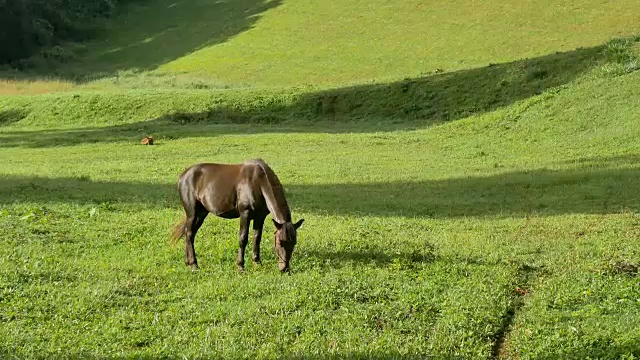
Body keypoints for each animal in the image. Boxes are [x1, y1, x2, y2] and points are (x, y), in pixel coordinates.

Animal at [171, 159, 304, 272]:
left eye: (294, 243)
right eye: (280, 242)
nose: (284, 268)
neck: (258, 181)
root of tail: (183, 175)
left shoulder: (260, 217)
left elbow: (257, 238)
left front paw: (257, 263)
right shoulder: (245, 214)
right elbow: (243, 238)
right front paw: (240, 266)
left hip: (201, 213)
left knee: (190, 234)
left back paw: (188, 262)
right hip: (192, 213)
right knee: (189, 235)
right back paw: (194, 265)